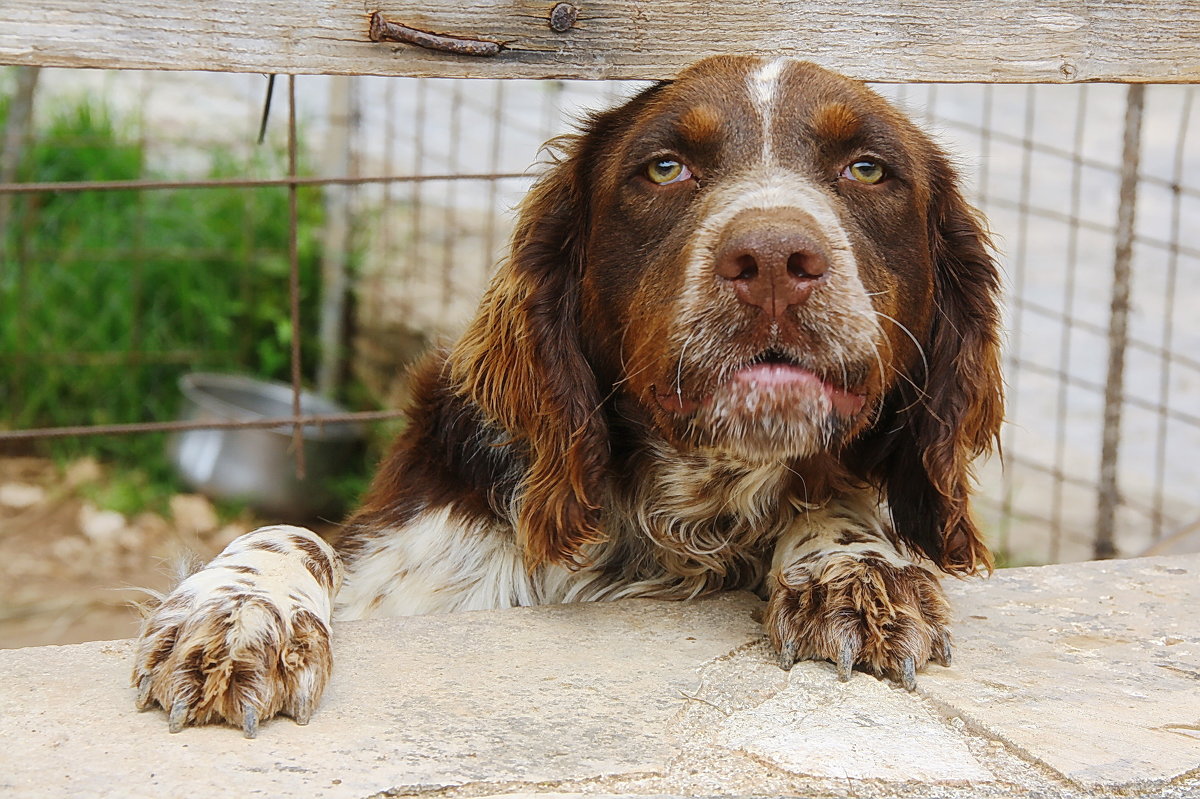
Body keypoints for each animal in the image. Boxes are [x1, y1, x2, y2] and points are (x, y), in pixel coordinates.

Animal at [131, 56, 1003, 739]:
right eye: (664, 168)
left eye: (867, 169)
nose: (773, 260)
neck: (675, 517)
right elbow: (297, 535)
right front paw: (242, 615)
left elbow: (838, 503)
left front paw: (854, 565)